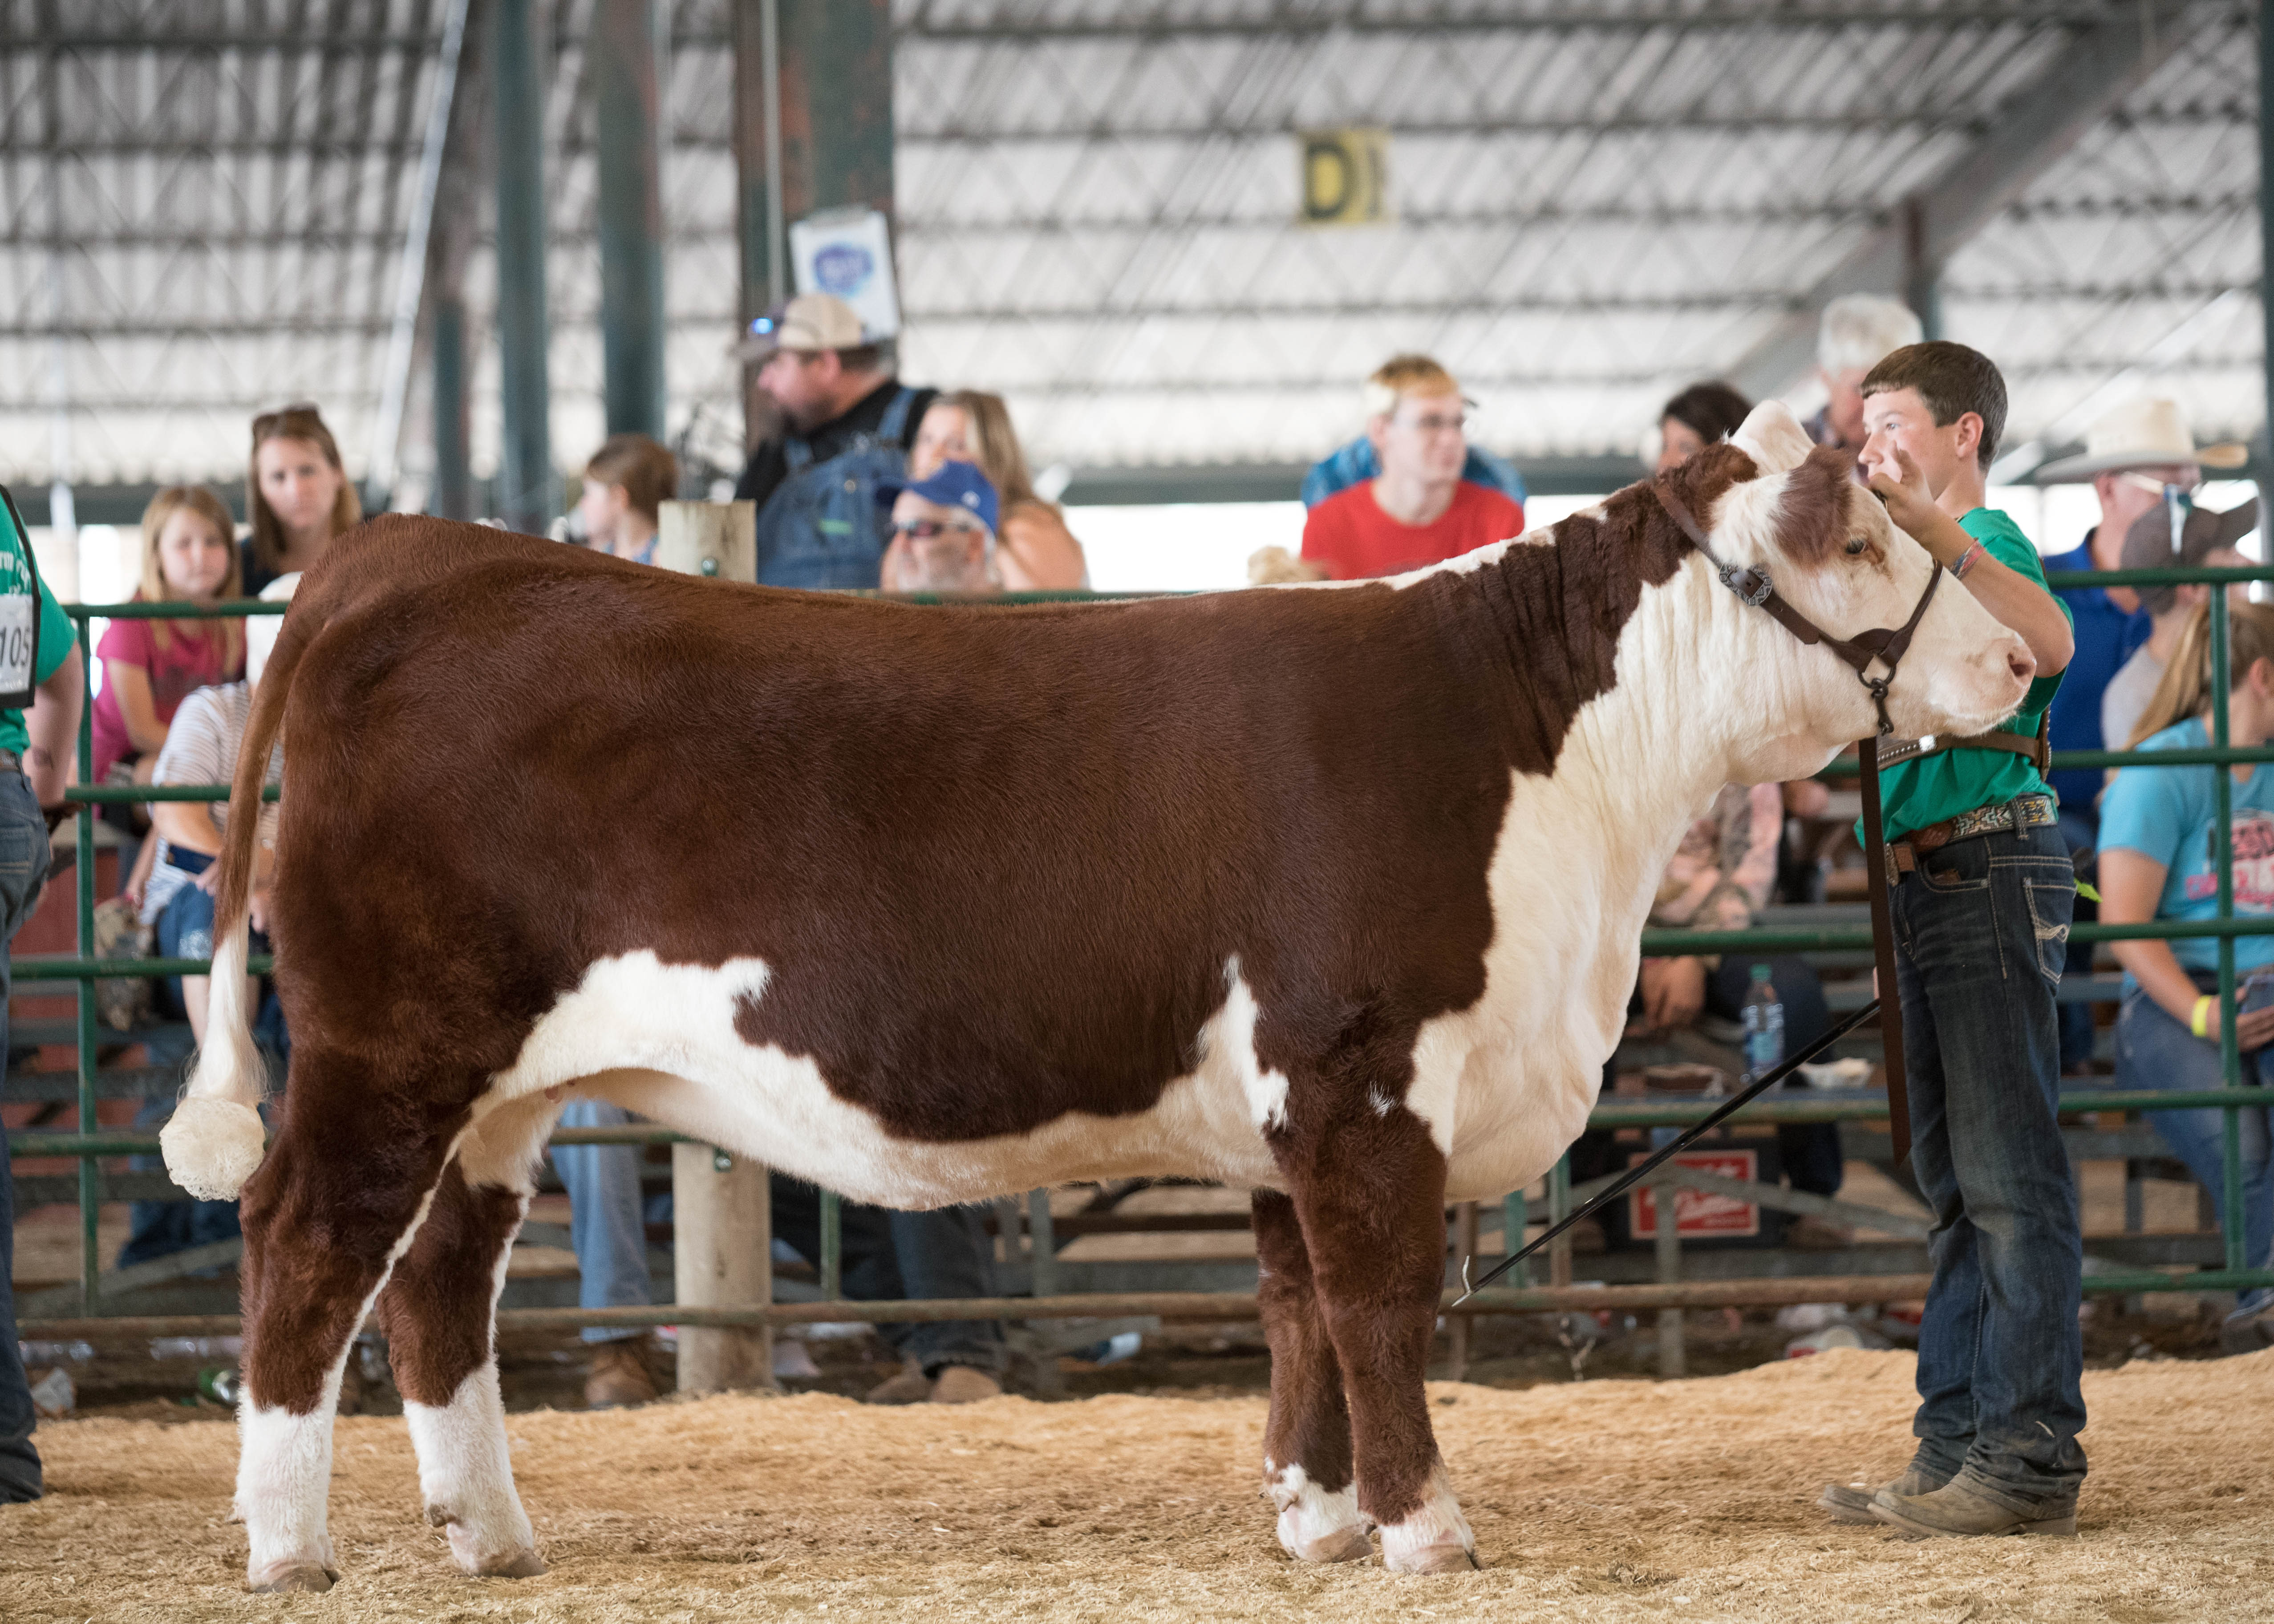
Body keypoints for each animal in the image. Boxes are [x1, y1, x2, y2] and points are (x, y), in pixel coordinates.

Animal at [165, 402, 2028, 1583]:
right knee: (308, 1245)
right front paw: (1425, 1525)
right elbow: (1376, 1297)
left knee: (440, 1284)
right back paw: (288, 1543)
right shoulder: (1360, 1068)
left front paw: (1313, 1518)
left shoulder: (1288, 1100)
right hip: (390, 1042)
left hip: (500, 1086)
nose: (2024, 655)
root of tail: (410, 557)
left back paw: (491, 1532)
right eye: (1858, 531)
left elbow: (1291, 1304)